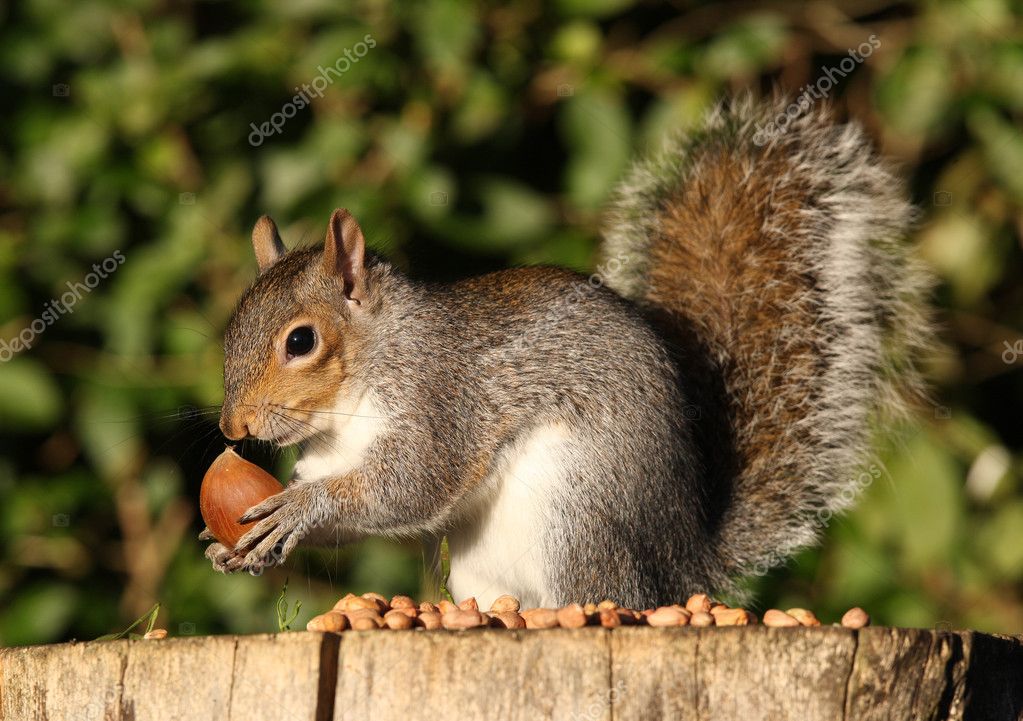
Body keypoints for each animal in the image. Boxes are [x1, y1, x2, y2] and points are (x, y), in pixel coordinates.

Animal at [202, 96, 930, 610]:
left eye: (301, 341)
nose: (233, 428)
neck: (349, 403)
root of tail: (681, 567)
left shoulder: (440, 399)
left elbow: (409, 486)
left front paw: (302, 509)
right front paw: (237, 543)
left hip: (575, 518)